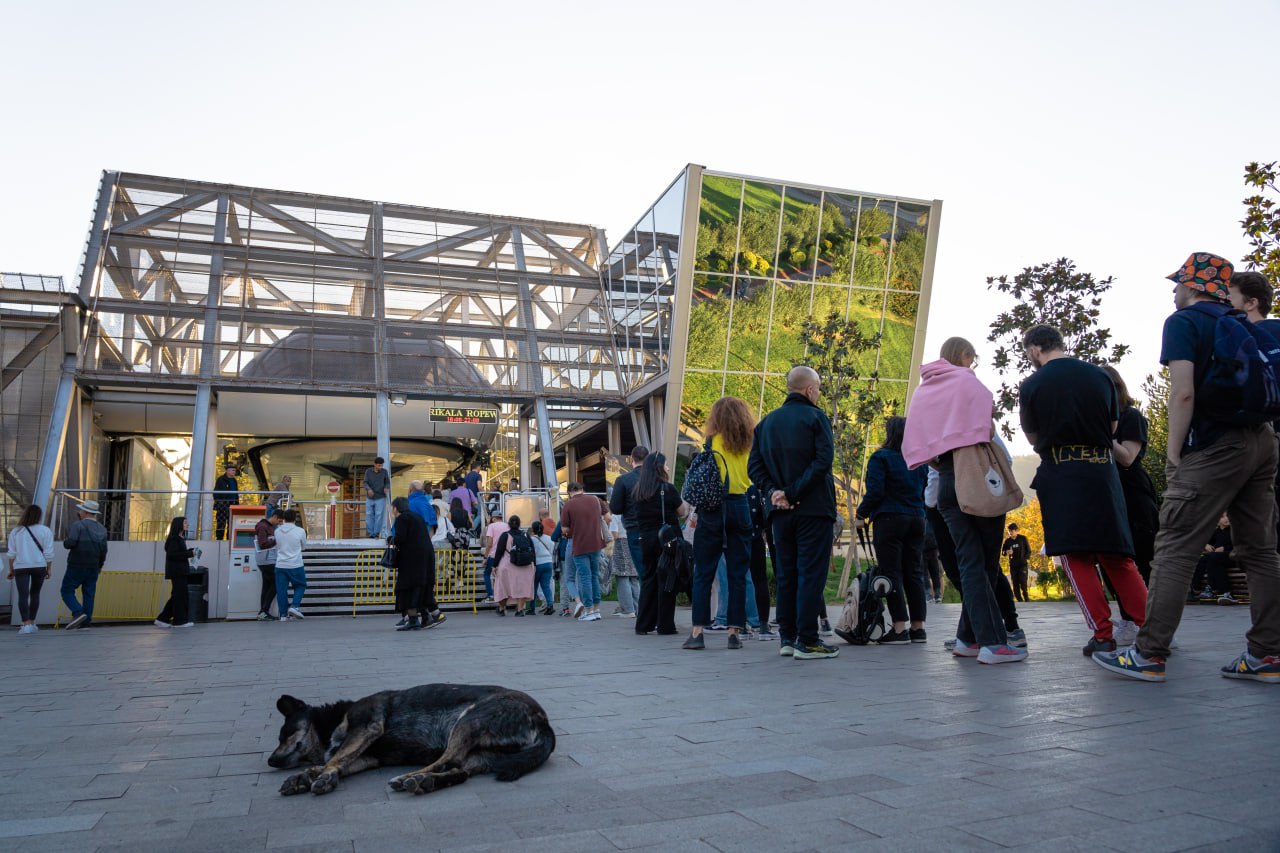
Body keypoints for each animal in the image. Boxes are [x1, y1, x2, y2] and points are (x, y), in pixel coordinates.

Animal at [267, 681, 552, 794]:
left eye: (284, 734)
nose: (270, 761)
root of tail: (542, 719)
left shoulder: (366, 727)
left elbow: (335, 759)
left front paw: (322, 777)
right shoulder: (366, 757)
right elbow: (337, 761)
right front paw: (305, 776)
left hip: (468, 720)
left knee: (448, 760)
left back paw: (407, 778)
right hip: (483, 755)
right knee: (458, 770)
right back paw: (427, 782)